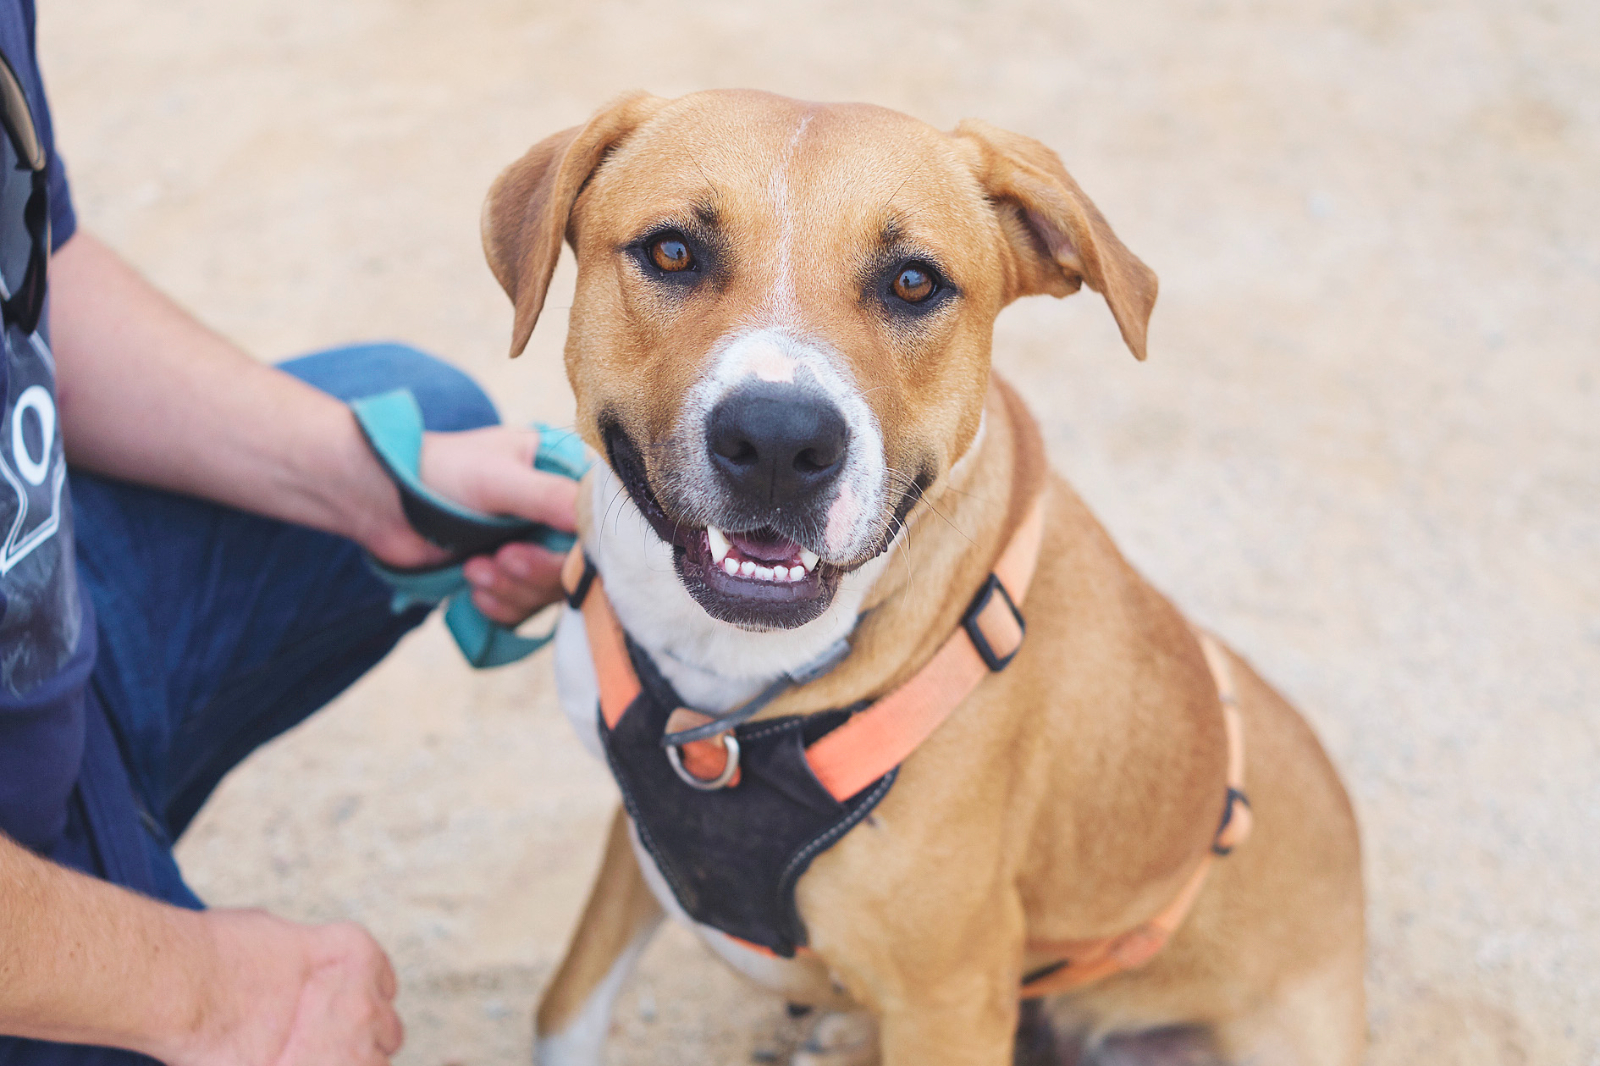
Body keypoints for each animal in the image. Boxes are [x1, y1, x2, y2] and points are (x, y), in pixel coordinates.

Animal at [481, 89, 1365, 1066]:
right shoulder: (637, 841)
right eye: (672, 251)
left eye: (914, 282)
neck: (728, 692)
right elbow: (566, 1007)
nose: (780, 442)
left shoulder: (953, 995)